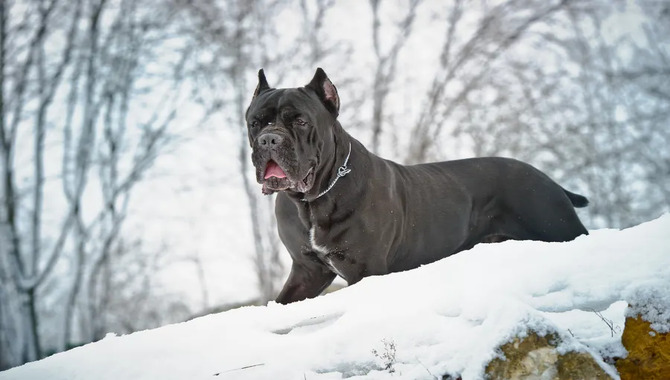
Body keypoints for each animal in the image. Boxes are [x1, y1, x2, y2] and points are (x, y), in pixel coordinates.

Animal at [245, 69, 588, 306]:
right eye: (254, 123)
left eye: (300, 121)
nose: (269, 139)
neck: (312, 199)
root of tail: (547, 178)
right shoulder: (307, 270)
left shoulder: (365, 269)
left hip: (557, 227)